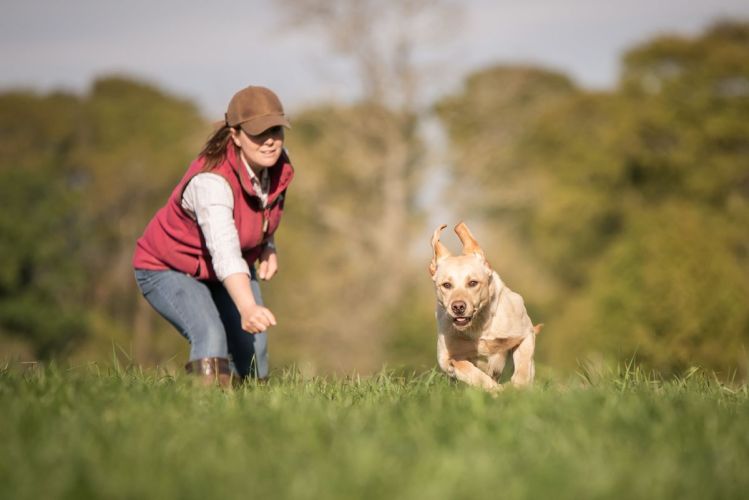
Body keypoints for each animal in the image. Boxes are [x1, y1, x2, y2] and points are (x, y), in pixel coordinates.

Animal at [430, 222, 540, 390]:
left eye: (473, 282)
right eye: (446, 285)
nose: (458, 307)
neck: (479, 326)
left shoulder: (525, 334)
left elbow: (523, 367)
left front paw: (516, 388)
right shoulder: (448, 359)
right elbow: (471, 371)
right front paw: (495, 390)